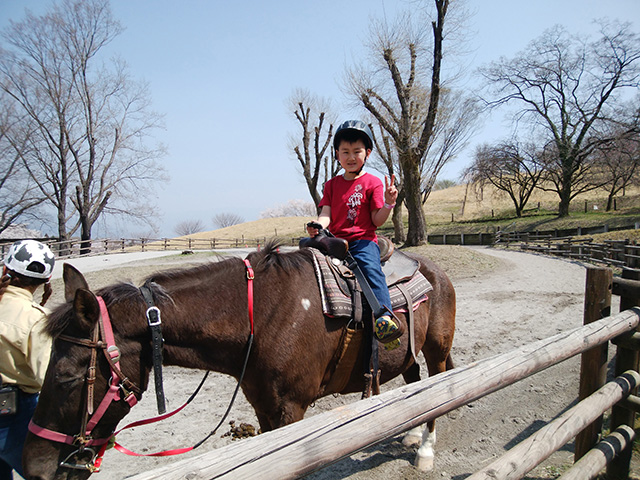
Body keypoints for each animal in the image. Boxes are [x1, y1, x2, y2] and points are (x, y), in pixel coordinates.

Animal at [22, 244, 456, 480]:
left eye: (67, 376)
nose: (34, 470)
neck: (259, 314)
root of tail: (436, 272)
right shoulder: (264, 408)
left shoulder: (290, 409)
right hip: (408, 355)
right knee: (417, 383)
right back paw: (411, 434)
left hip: (436, 349)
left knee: (440, 387)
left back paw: (425, 450)